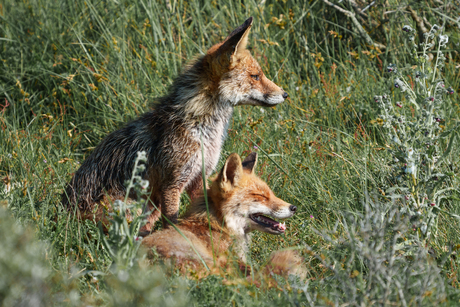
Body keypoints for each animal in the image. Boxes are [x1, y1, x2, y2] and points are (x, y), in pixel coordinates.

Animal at [61, 16, 288, 231]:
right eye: (255, 76)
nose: (285, 94)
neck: (202, 129)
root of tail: (62, 213)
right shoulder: (172, 183)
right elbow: (172, 223)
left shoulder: (199, 178)